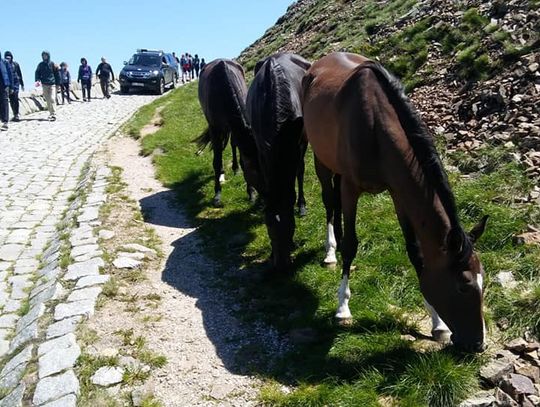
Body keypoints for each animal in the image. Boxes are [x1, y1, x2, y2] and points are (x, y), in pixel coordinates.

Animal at [196, 58, 260, 206]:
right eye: (254, 170)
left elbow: (239, 153)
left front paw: (251, 193)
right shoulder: (215, 129)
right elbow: (217, 161)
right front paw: (217, 195)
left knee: (233, 144)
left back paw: (235, 168)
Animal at [247, 52, 310, 272]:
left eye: (291, 226)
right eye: (268, 227)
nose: (281, 266)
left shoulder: (298, 142)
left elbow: (298, 171)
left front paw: (300, 206)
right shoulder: (260, 145)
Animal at [304, 52, 490, 354]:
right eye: (463, 286)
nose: (477, 345)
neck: (375, 126)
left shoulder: (398, 192)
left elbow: (416, 251)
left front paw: (438, 323)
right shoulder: (351, 187)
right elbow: (352, 245)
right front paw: (343, 308)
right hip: (322, 161)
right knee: (330, 204)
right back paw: (331, 251)